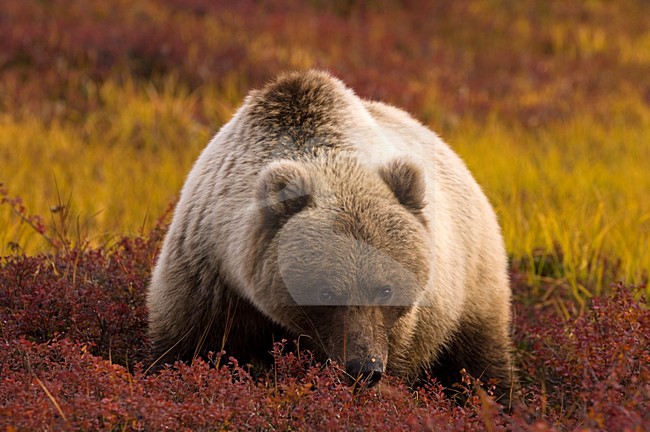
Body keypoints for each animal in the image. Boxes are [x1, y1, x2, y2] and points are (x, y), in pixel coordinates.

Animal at [147, 70, 515, 404]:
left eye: (386, 289)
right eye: (325, 291)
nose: (364, 368)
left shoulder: (404, 328)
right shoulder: (209, 277)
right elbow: (184, 350)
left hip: (471, 285)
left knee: (479, 362)